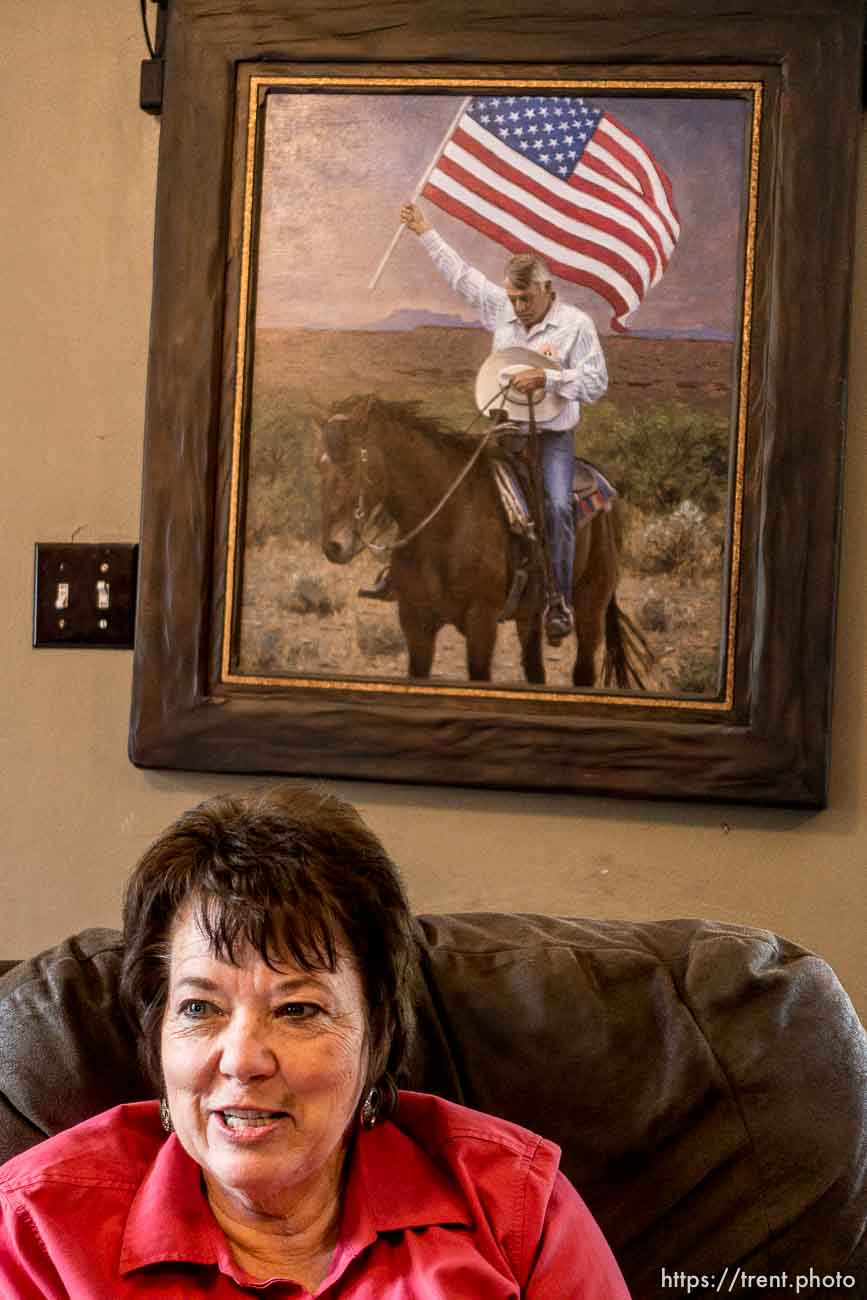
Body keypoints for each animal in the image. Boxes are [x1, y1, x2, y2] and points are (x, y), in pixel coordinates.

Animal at [315, 390, 647, 686]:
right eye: (320, 464)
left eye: (354, 464)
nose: (334, 546)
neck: (447, 524)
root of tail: (601, 481)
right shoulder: (416, 623)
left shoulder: (481, 622)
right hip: (530, 614)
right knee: (535, 671)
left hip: (591, 604)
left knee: (583, 671)